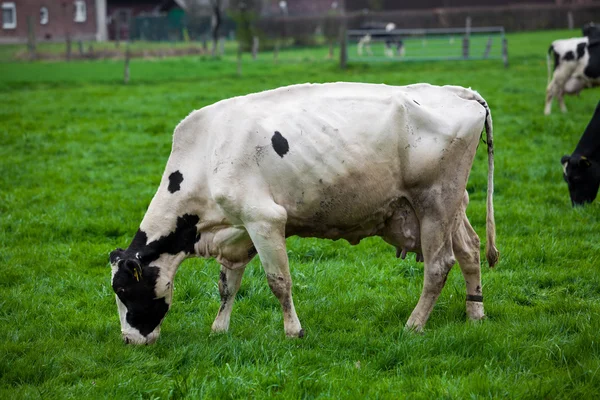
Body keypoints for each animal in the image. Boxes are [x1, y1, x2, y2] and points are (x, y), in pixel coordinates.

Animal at [110, 81, 500, 344]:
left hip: (436, 203)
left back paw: (414, 324)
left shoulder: (265, 220)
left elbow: (278, 281)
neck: (207, 153)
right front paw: (219, 329)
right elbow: (227, 285)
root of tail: (457, 92)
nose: (128, 340)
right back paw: (475, 312)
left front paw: (293, 331)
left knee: (439, 266)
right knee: (470, 251)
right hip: (451, 205)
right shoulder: (238, 229)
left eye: (124, 291)